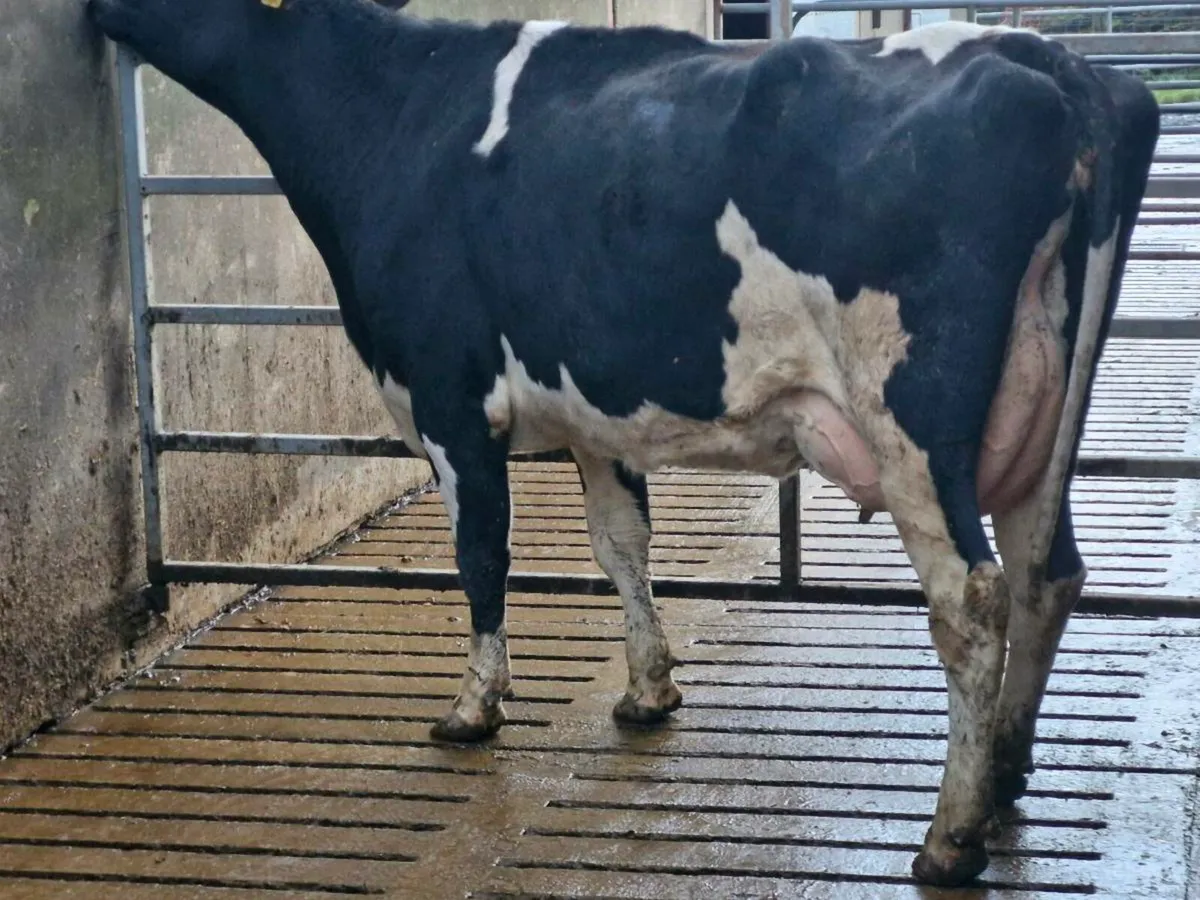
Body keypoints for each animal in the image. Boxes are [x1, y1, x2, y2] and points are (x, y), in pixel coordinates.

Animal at [86, 0, 1159, 885]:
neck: (389, 111)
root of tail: (1057, 67)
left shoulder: (446, 396)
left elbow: (482, 558)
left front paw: (474, 708)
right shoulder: (595, 416)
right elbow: (620, 544)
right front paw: (648, 690)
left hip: (914, 422)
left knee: (973, 599)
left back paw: (949, 836)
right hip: (1052, 422)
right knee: (1047, 573)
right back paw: (1008, 773)